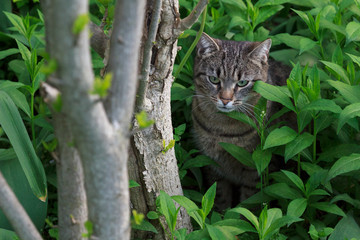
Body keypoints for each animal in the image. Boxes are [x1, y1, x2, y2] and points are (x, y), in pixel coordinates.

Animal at [193, 32, 292, 209]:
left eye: (242, 82)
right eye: (214, 79)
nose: (225, 100)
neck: (221, 127)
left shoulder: (256, 169)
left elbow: (249, 203)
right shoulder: (213, 165)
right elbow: (220, 197)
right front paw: (221, 214)